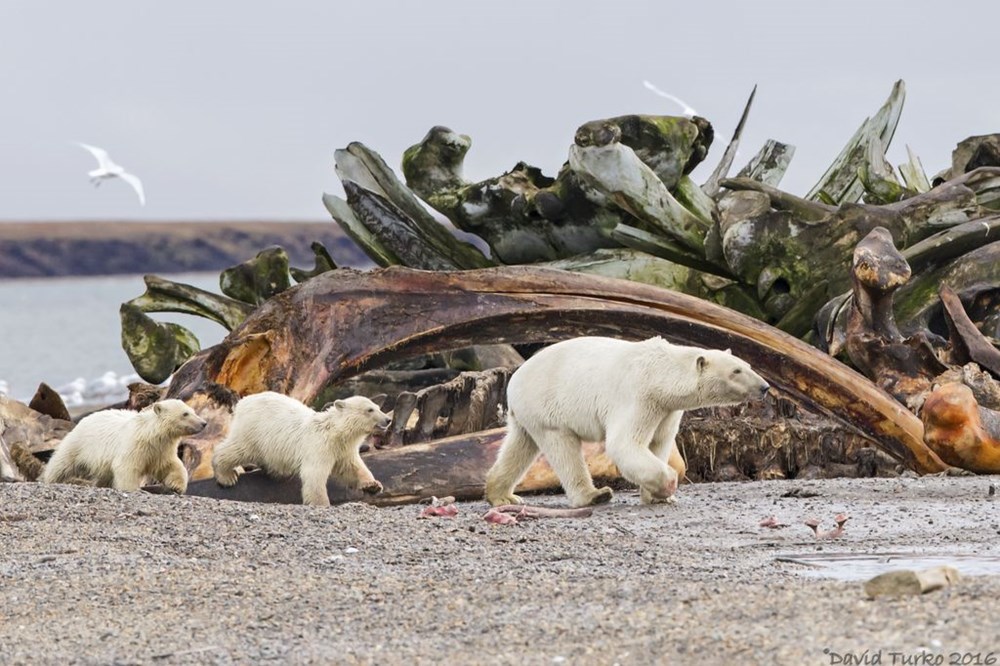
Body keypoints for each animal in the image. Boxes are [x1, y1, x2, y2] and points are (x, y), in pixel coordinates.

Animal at [488, 334, 768, 506]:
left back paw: (502, 496)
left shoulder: (666, 409)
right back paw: (594, 495)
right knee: (563, 449)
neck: (661, 373)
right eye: (736, 371)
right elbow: (624, 444)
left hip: (528, 413)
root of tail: (514, 381)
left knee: (519, 446)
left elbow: (659, 443)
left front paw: (657, 496)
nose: (764, 387)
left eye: (747, 365)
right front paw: (668, 485)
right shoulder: (639, 396)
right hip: (549, 406)